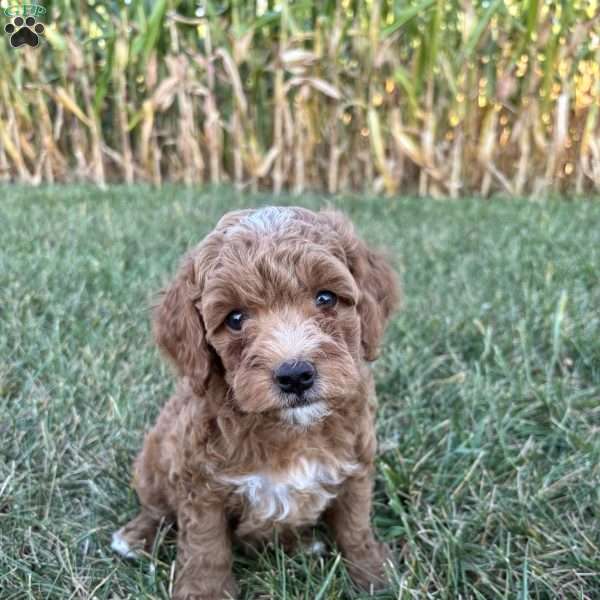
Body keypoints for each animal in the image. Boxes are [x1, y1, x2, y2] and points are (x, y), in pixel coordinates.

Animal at [115, 207, 400, 600]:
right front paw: (205, 592)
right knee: (156, 508)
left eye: (326, 298)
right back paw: (135, 536)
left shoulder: (355, 466)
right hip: (152, 458)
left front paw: (373, 575)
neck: (292, 427)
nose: (295, 375)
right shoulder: (199, 481)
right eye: (235, 319)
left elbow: (355, 527)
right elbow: (206, 546)